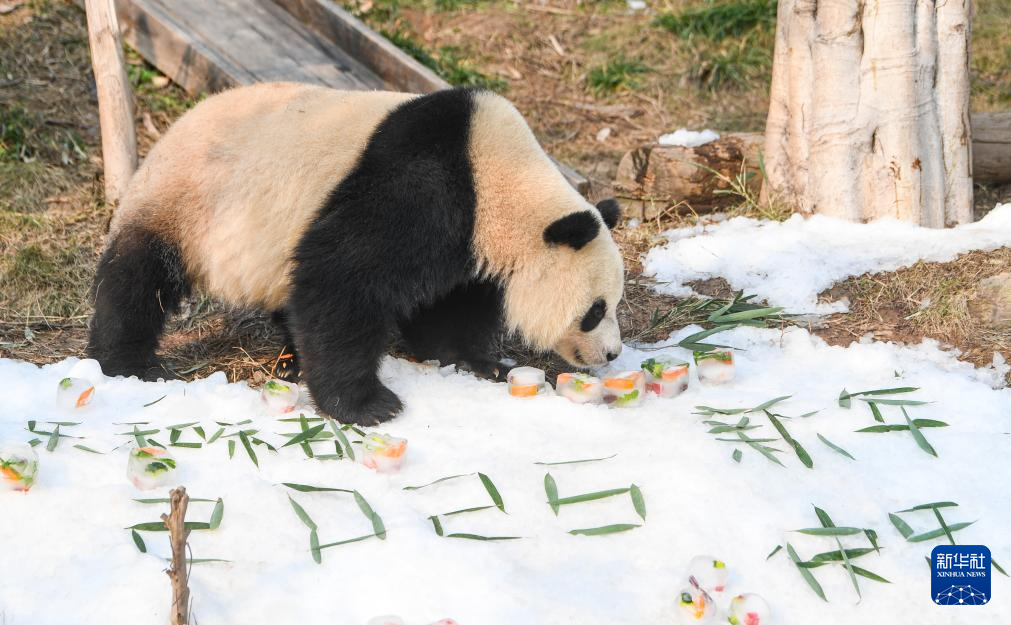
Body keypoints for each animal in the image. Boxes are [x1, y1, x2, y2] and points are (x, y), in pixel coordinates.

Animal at [88, 81, 622, 422]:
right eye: (595, 310)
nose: (613, 352)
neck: (498, 179)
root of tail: (169, 133)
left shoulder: (467, 240)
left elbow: (451, 304)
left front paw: (480, 362)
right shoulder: (422, 186)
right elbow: (342, 278)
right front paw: (369, 405)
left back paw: (291, 357)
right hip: (186, 203)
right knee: (137, 280)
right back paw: (128, 363)